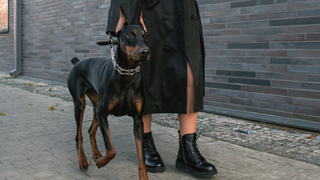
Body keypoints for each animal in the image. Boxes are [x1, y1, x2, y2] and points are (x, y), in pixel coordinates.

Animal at [67, 7, 150, 179]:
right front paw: (101, 163)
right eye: (130, 35)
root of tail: (77, 62)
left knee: (90, 130)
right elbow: (111, 150)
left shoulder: (137, 120)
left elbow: (141, 159)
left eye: (146, 36)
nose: (145, 52)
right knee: (79, 135)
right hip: (80, 104)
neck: (126, 74)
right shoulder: (103, 113)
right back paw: (83, 161)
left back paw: (96, 154)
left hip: (96, 105)